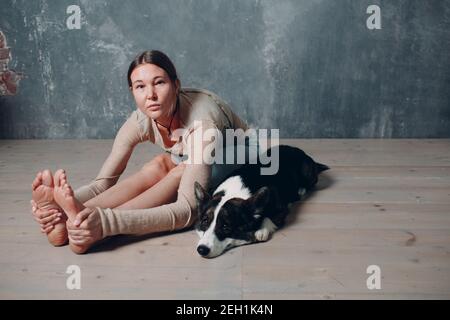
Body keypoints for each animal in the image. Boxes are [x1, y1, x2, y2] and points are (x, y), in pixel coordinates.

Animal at [193, 144, 326, 258]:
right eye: (205, 221)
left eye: (226, 227)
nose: (201, 249)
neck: (234, 192)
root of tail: (301, 151)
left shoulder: (282, 209)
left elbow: (269, 217)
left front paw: (261, 230)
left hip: (307, 172)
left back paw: (302, 190)